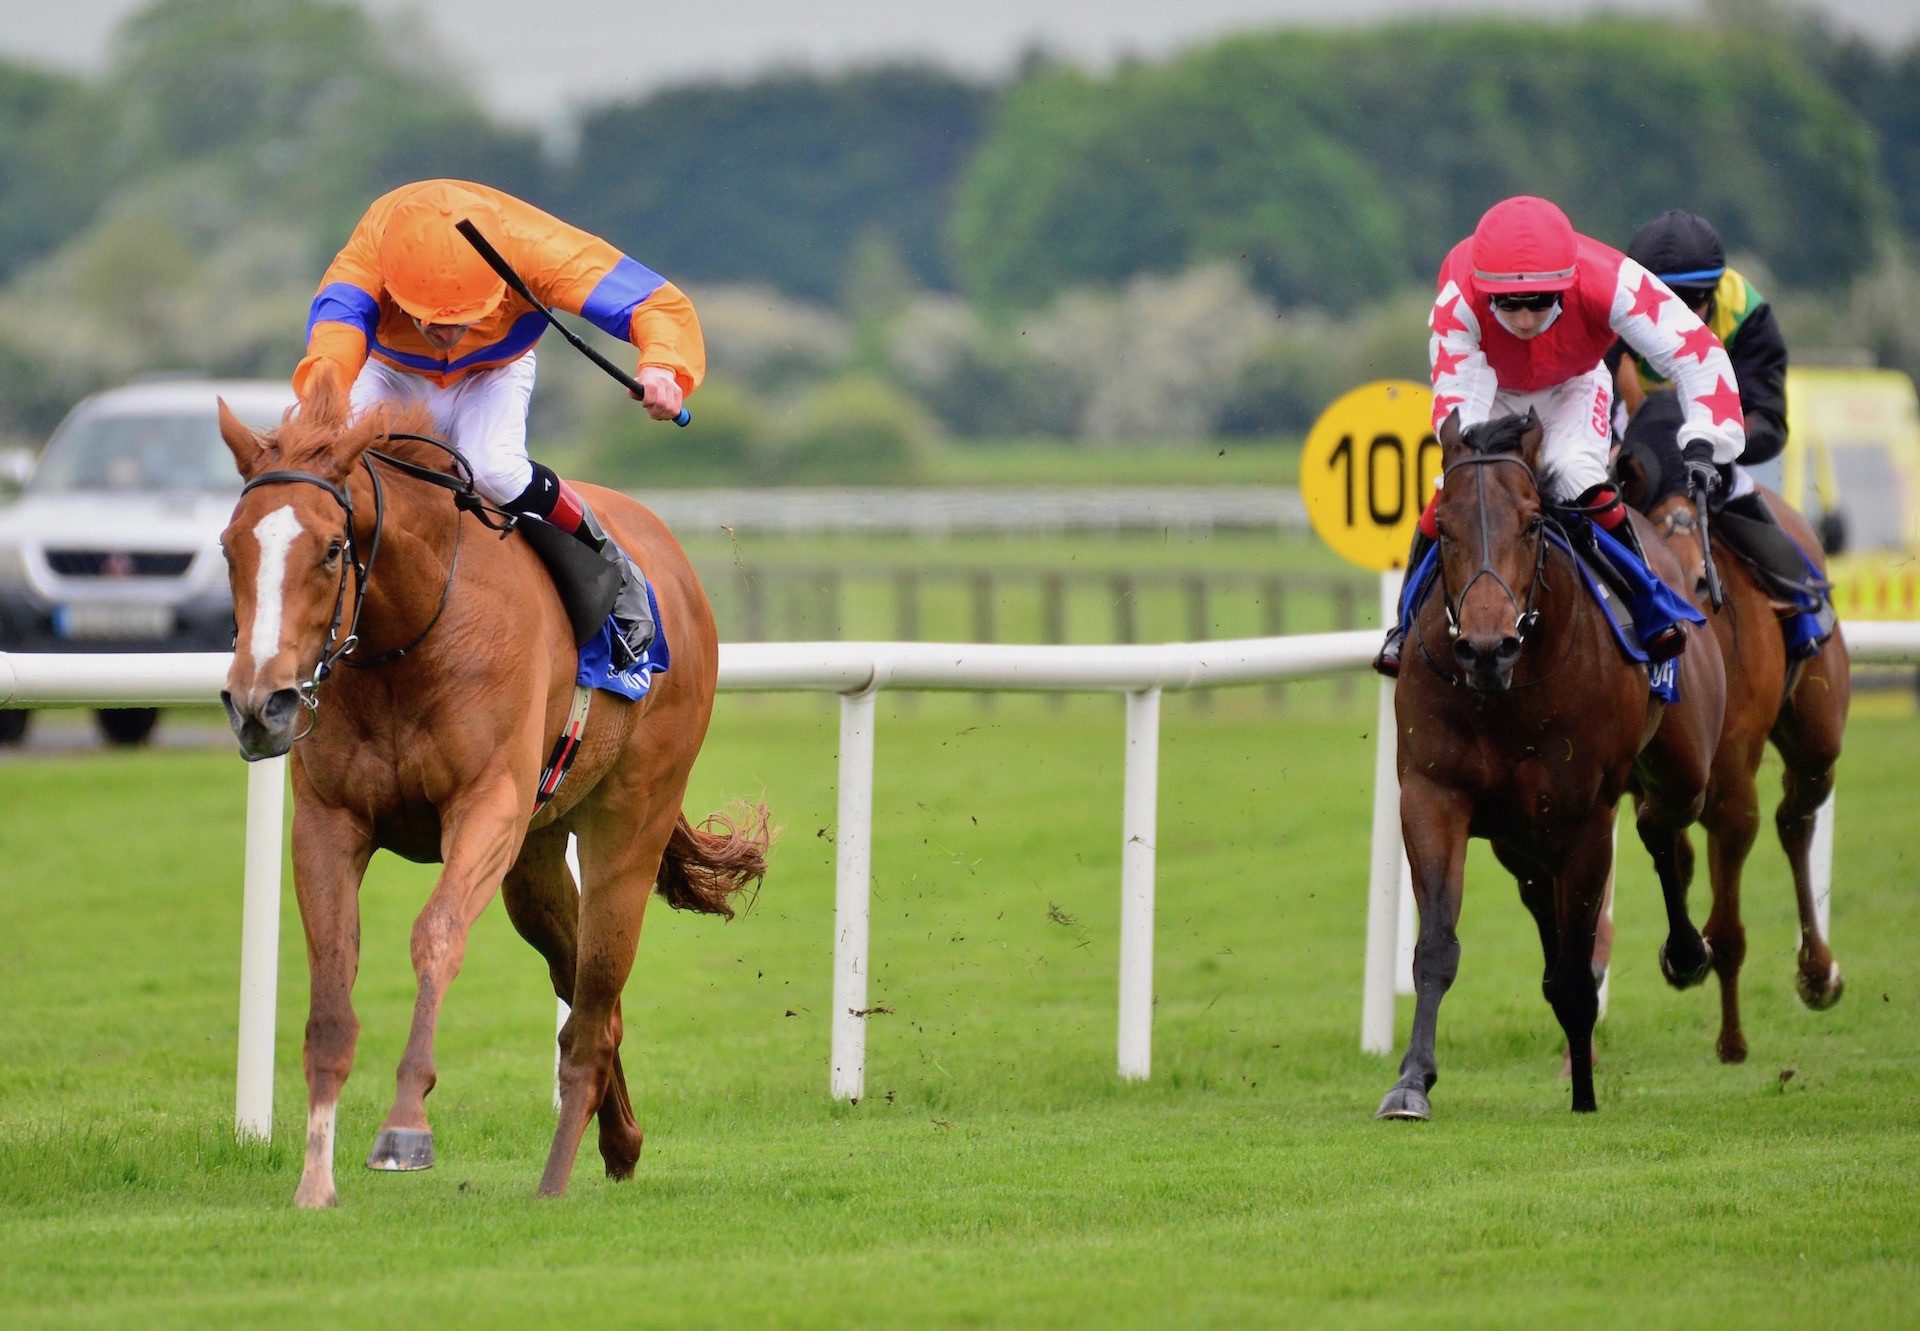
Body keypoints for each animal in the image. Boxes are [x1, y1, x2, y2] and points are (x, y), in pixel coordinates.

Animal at [217, 376, 771, 1206]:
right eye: (230, 546)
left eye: (332, 549)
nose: (260, 704)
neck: (409, 636)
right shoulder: (328, 822)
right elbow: (332, 985)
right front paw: (315, 1179)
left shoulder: (488, 809)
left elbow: (437, 934)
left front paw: (405, 1125)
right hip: (535, 864)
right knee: (585, 997)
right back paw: (620, 1140)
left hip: (628, 824)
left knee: (594, 1004)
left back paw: (557, 1176)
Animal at [1382, 411, 1728, 1113]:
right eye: (1443, 527)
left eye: (1531, 522)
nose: (1487, 647)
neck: (1509, 692)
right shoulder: (1432, 794)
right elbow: (1437, 944)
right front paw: (1411, 1081)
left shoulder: (1585, 819)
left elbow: (1576, 969)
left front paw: (1585, 1095)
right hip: (1519, 837)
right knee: (1557, 886)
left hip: (1682, 767)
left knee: (1663, 827)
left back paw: (1686, 953)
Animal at [1612, 399, 1850, 1067]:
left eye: (1701, 576)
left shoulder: (1731, 778)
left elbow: (1729, 925)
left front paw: (1732, 1038)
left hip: (1815, 739)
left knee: (1795, 819)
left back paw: (1817, 973)